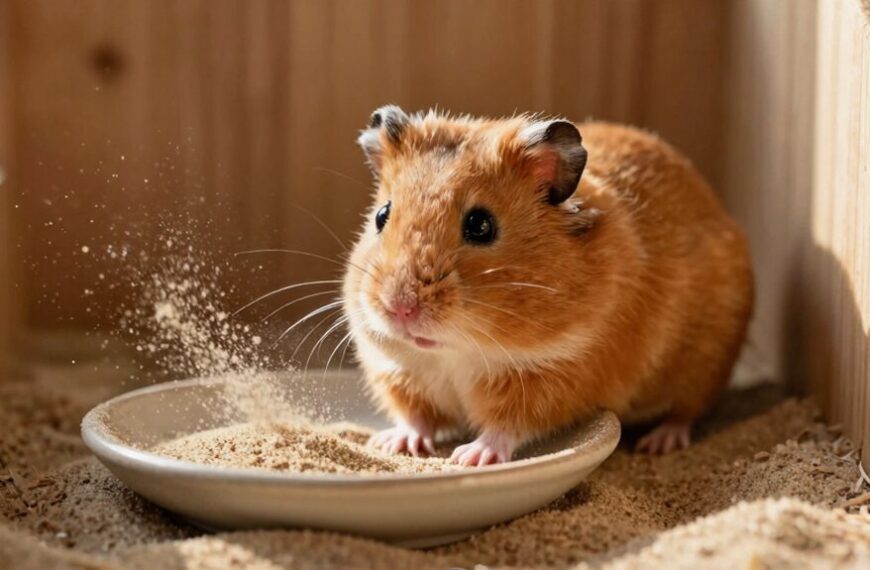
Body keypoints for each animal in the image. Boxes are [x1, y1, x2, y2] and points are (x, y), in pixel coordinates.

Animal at [342, 105, 753, 465]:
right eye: (382, 215)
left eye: (480, 225)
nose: (400, 308)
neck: (458, 350)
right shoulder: (400, 371)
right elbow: (416, 417)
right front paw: (392, 444)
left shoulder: (552, 377)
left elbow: (507, 426)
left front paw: (470, 458)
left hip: (704, 365)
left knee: (688, 411)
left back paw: (659, 443)